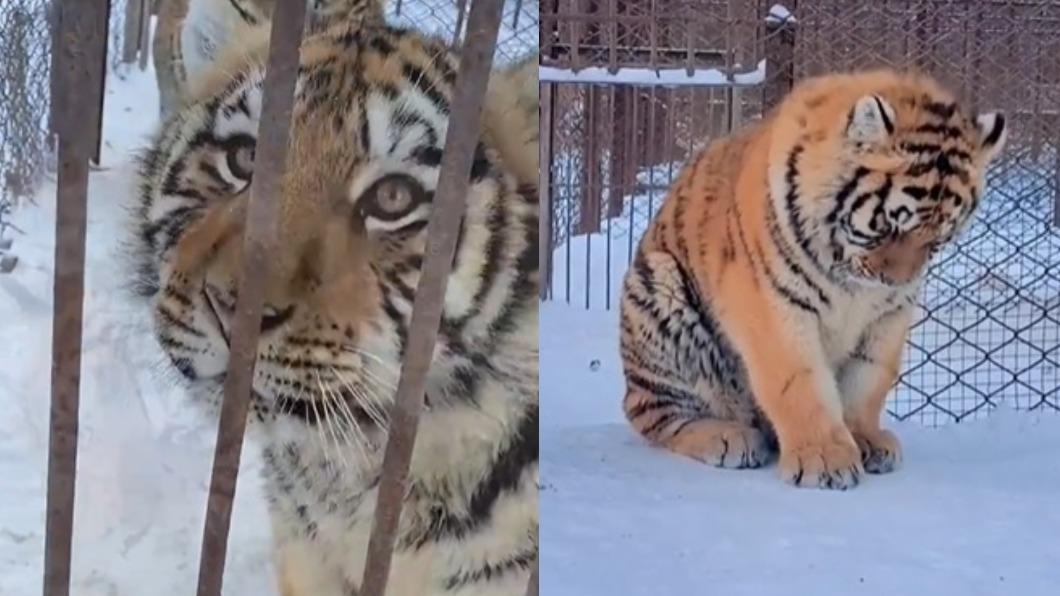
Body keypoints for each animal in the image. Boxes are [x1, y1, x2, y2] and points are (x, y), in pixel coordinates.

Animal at [620, 69, 1006, 490]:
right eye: (889, 226)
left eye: (937, 240)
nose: (895, 281)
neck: (853, 282)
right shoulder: (773, 304)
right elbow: (799, 382)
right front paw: (825, 459)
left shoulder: (888, 316)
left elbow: (869, 379)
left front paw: (865, 439)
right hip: (658, 287)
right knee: (653, 413)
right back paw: (728, 436)